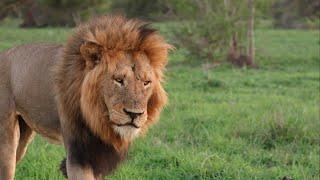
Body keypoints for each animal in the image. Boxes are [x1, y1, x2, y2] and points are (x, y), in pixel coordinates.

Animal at [0, 14, 172, 179]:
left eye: (146, 82)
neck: (97, 116)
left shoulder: (98, 156)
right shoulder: (78, 153)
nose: (134, 114)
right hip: (7, 141)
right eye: (118, 80)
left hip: (24, 135)